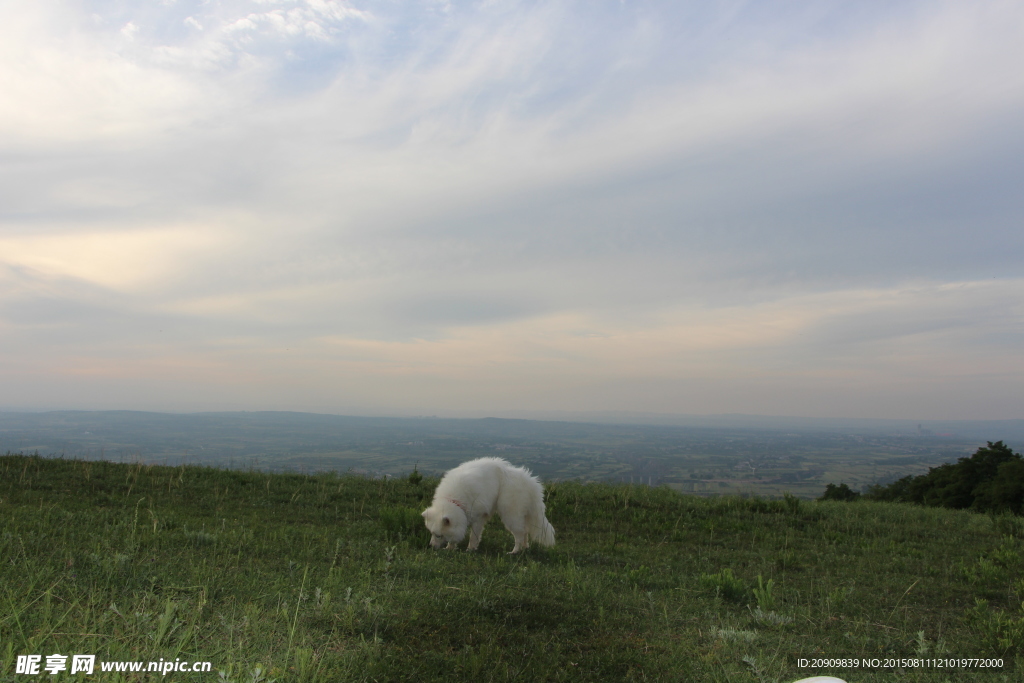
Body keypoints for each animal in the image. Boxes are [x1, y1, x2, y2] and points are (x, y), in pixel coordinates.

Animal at [421, 456, 557, 552]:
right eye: (431, 533)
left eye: (438, 535)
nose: (430, 546)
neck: (454, 500)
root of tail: (531, 482)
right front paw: (450, 548)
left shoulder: (478, 517)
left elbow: (474, 536)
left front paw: (470, 549)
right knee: (524, 532)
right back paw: (524, 548)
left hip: (510, 514)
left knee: (519, 533)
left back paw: (514, 551)